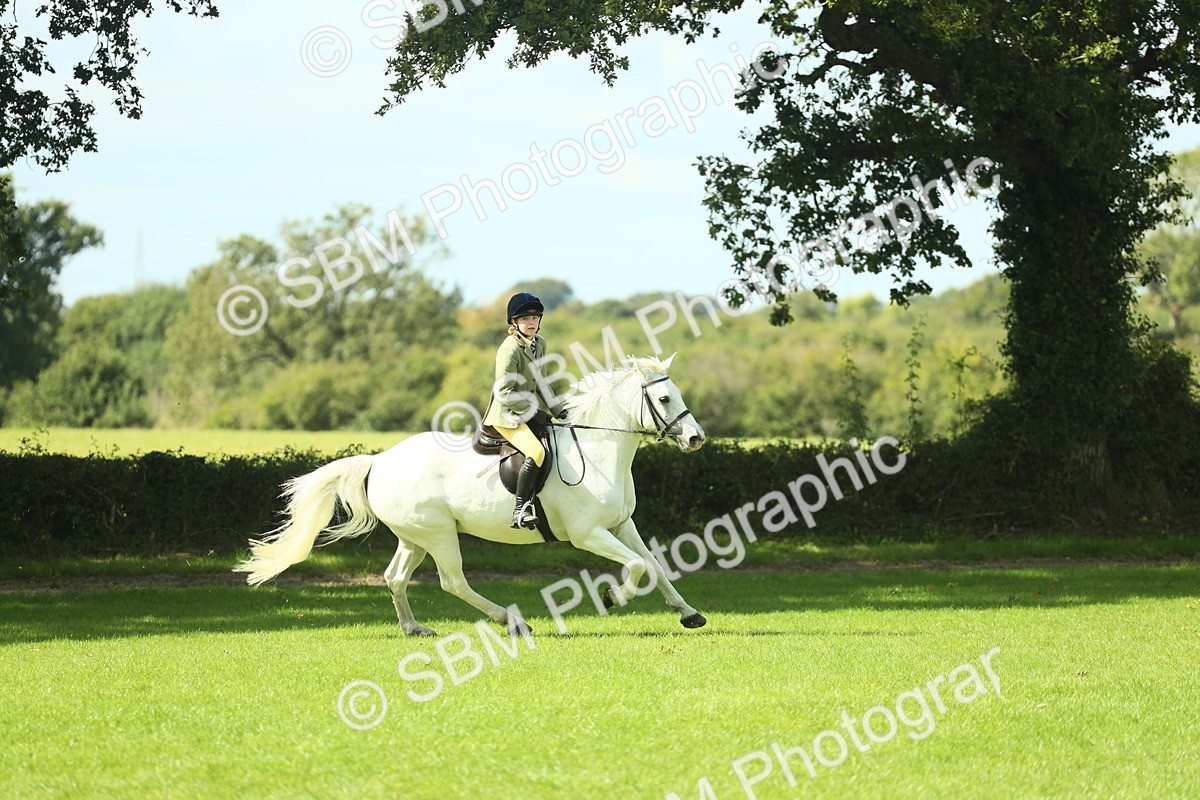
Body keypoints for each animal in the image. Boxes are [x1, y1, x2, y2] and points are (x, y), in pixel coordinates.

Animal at [233, 354, 708, 636]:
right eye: (664, 398)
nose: (696, 439)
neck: (598, 449)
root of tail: (381, 461)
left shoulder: (622, 525)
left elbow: (654, 565)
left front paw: (689, 614)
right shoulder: (588, 533)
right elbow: (637, 567)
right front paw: (613, 597)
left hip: (414, 536)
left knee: (395, 578)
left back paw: (415, 629)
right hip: (440, 534)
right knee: (453, 581)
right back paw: (512, 621)